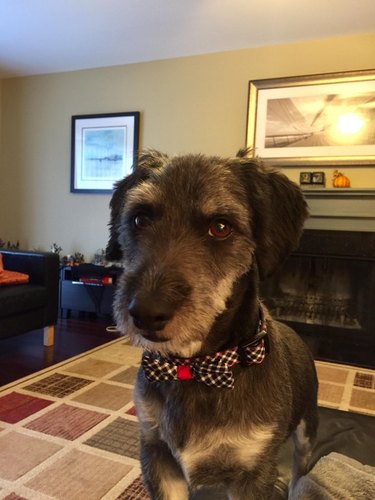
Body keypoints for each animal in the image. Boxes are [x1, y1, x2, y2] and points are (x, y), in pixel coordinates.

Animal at [106, 151, 318, 500]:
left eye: (220, 227)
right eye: (140, 218)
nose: (146, 313)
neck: (196, 367)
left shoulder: (253, 472)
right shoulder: (157, 454)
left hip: (307, 435)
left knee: (300, 473)